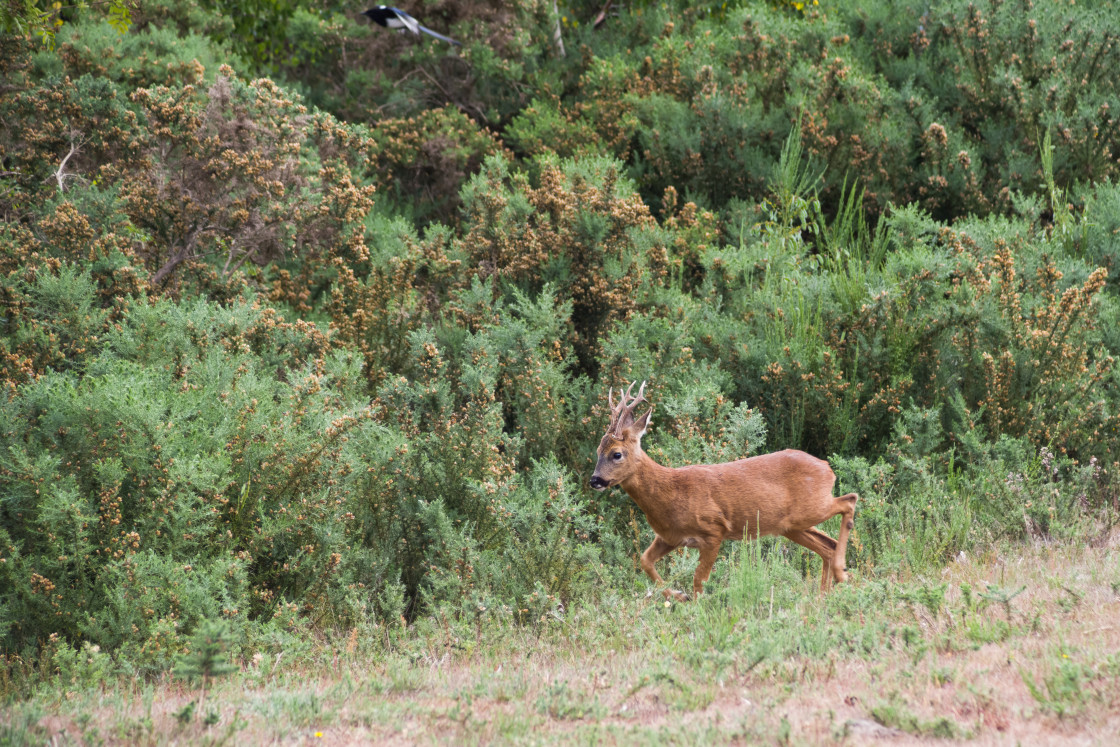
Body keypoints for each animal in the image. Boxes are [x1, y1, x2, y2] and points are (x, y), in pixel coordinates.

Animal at [591, 383, 860, 600]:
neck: (671, 492)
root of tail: (828, 469)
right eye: (597, 450)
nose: (595, 480)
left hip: (811, 508)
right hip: (792, 525)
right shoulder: (670, 536)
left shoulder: (714, 530)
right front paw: (679, 596)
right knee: (828, 544)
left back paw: (841, 575)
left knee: (849, 500)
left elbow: (699, 579)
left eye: (616, 454)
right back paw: (825, 594)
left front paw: (696, 608)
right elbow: (645, 561)